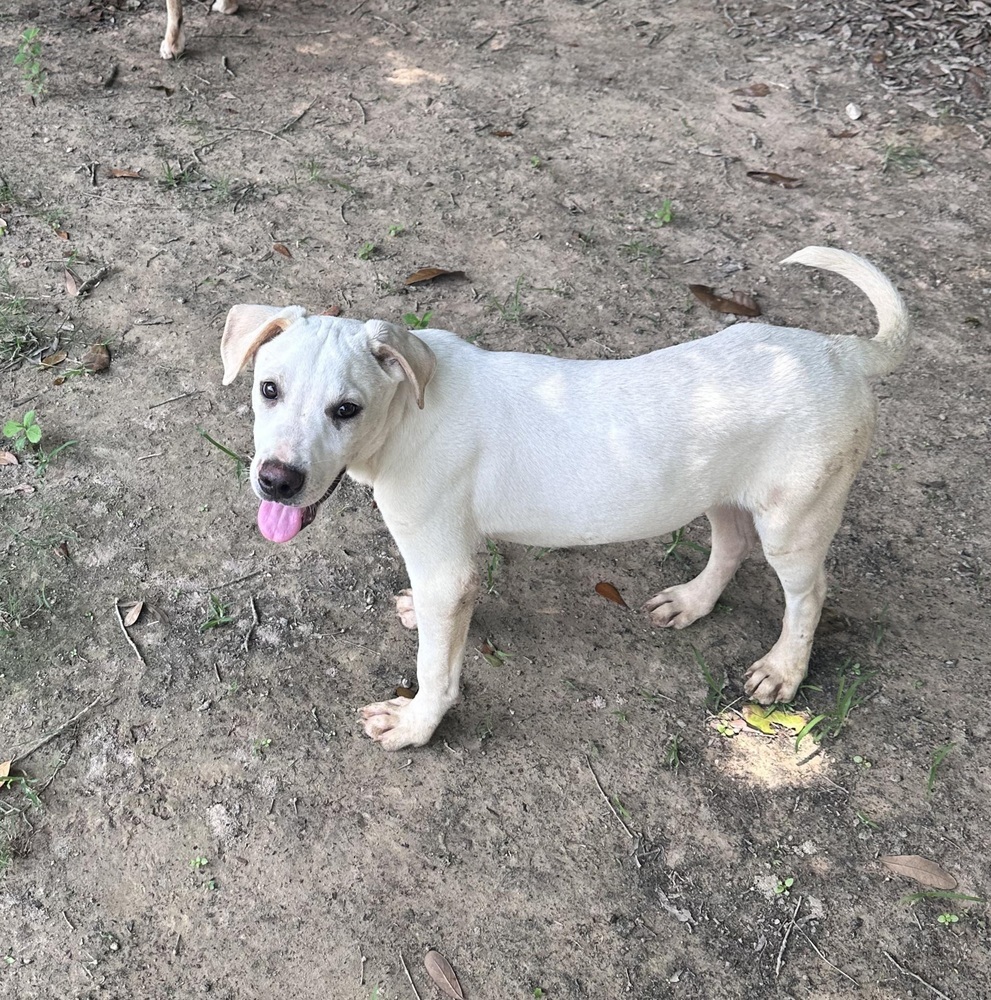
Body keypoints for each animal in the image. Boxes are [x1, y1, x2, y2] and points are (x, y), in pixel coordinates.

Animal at [221, 248, 912, 752]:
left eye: (346, 410)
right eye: (268, 389)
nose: (277, 480)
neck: (408, 411)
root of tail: (837, 352)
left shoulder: (446, 565)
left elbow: (436, 669)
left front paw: (417, 726)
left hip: (794, 519)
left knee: (809, 592)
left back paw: (784, 669)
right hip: (720, 490)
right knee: (732, 543)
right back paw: (692, 602)